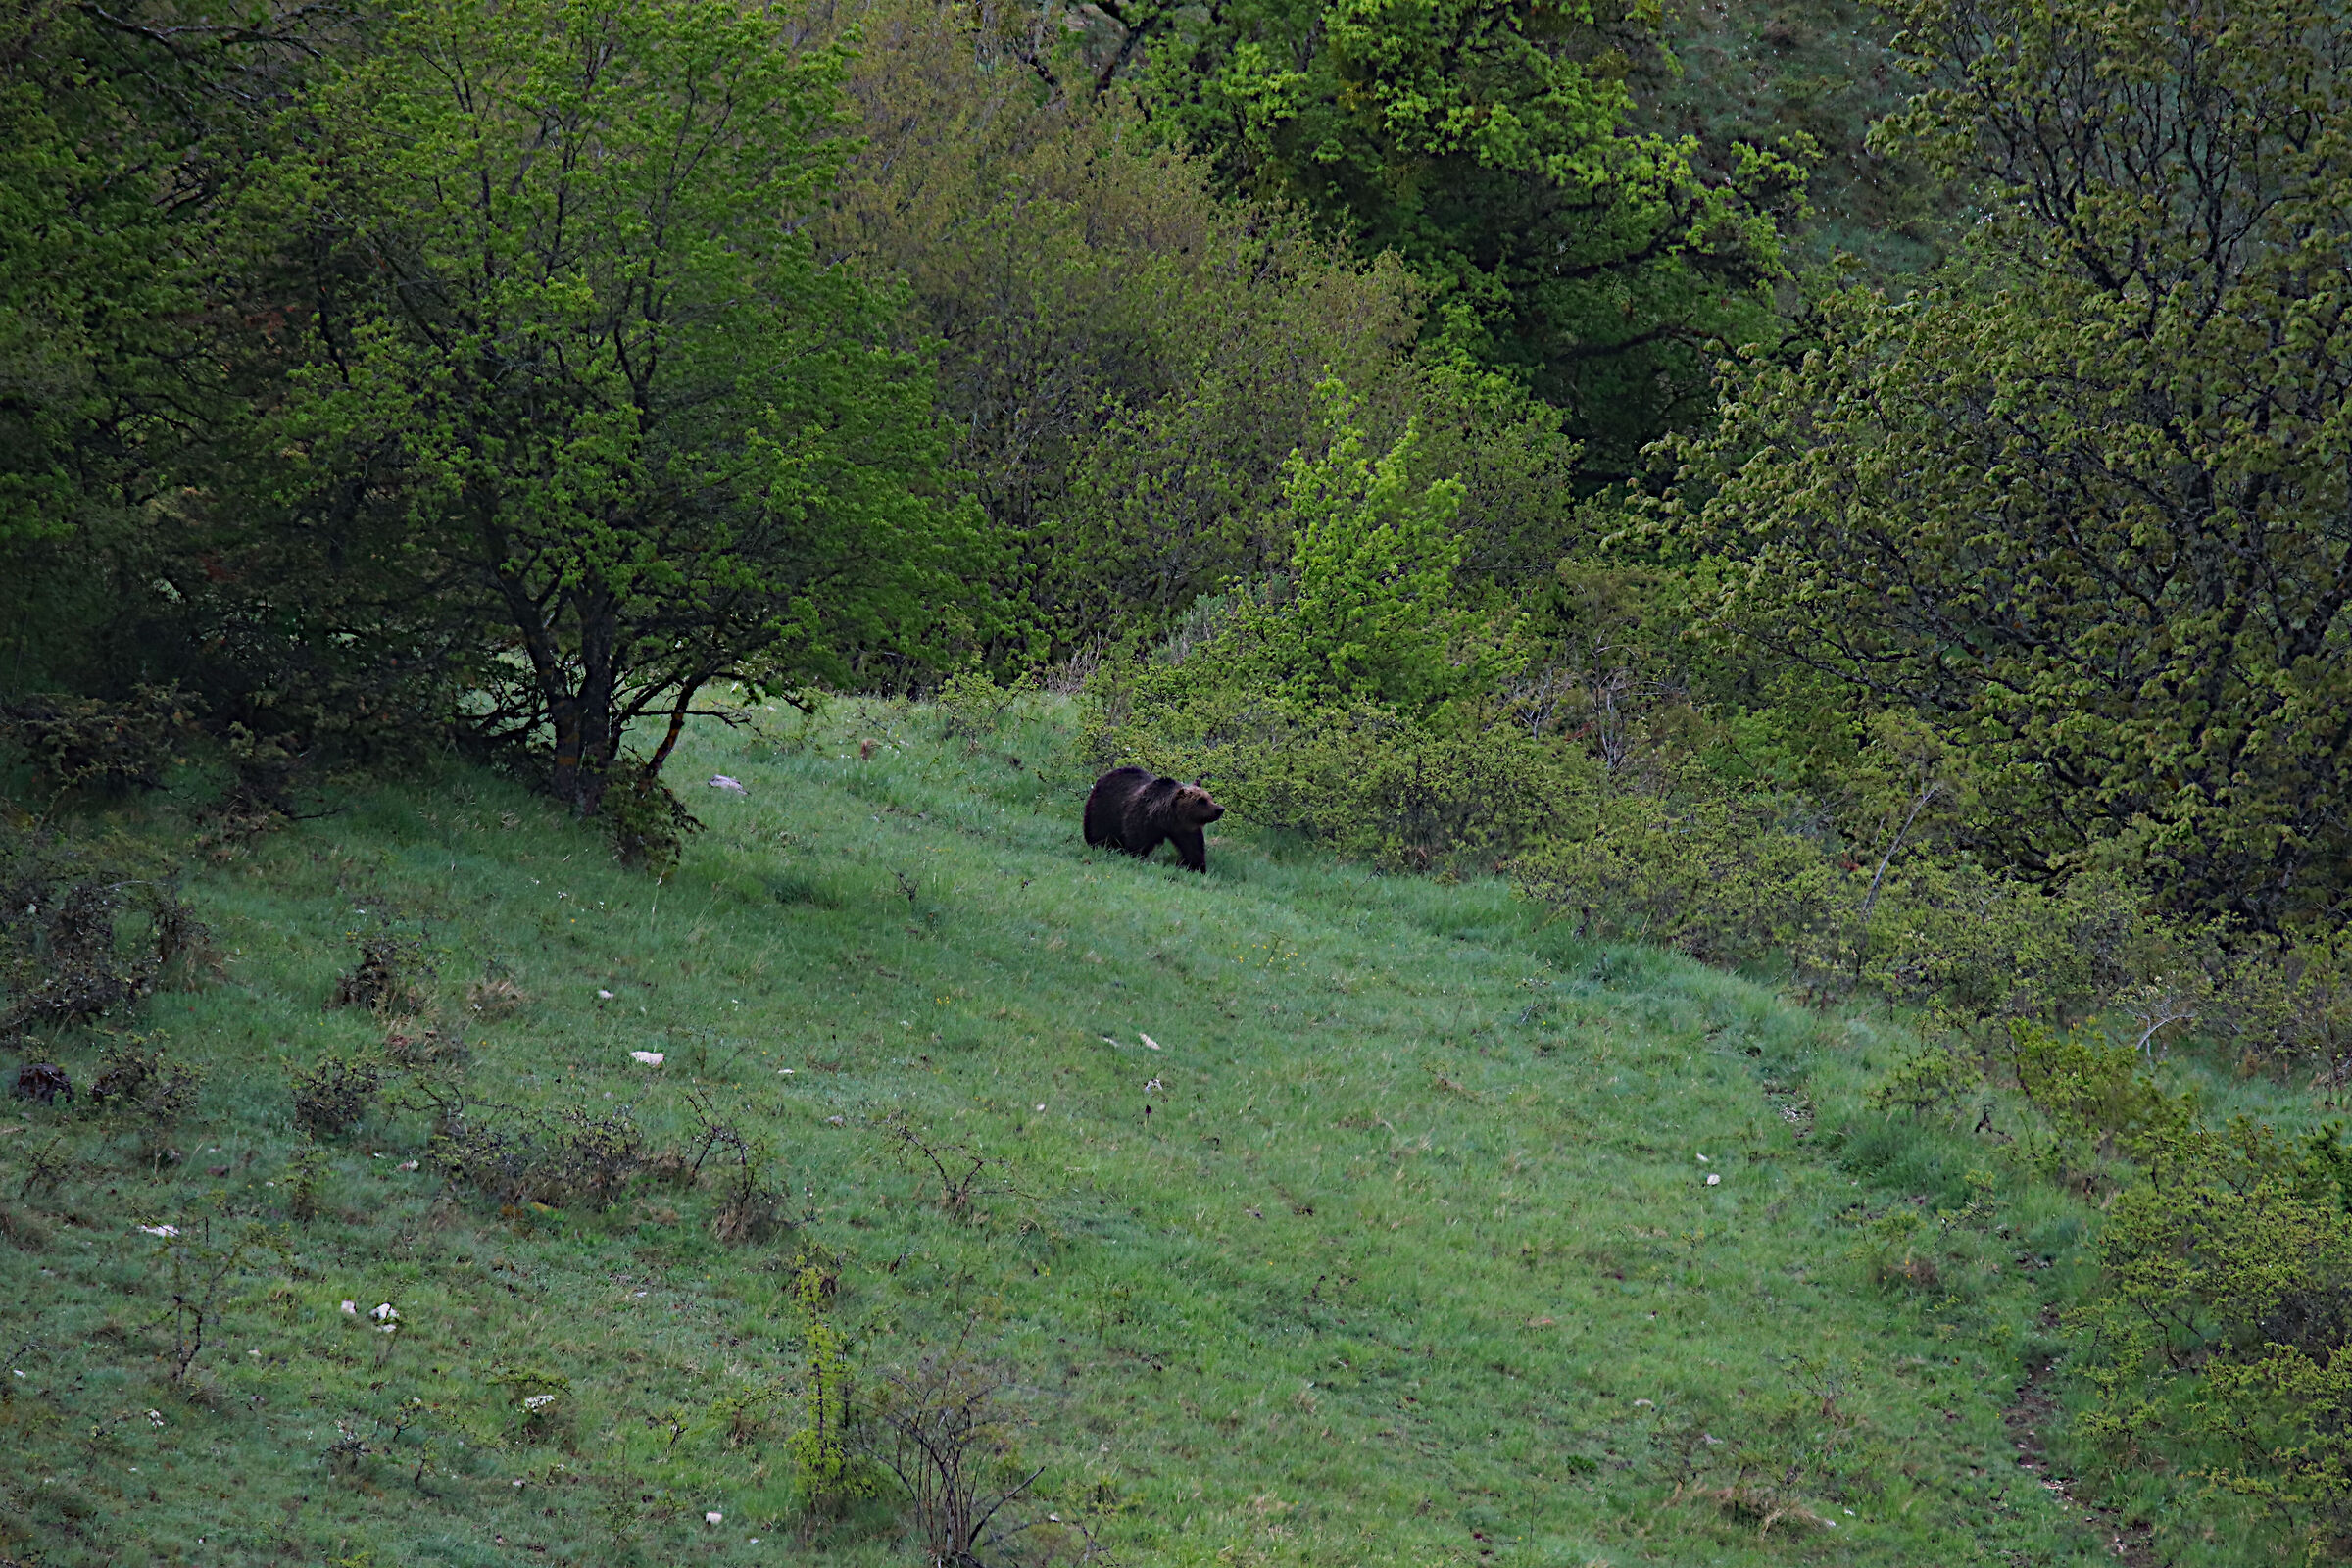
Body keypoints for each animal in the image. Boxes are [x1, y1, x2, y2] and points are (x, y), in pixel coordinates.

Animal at [1084, 767, 1225, 872]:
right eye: (1201, 800)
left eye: (1210, 797)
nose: (1220, 809)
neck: (1166, 819)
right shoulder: (1142, 820)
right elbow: (1137, 842)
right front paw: (1135, 856)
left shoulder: (1185, 830)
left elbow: (1193, 849)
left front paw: (1197, 867)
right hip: (1104, 809)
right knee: (1098, 831)